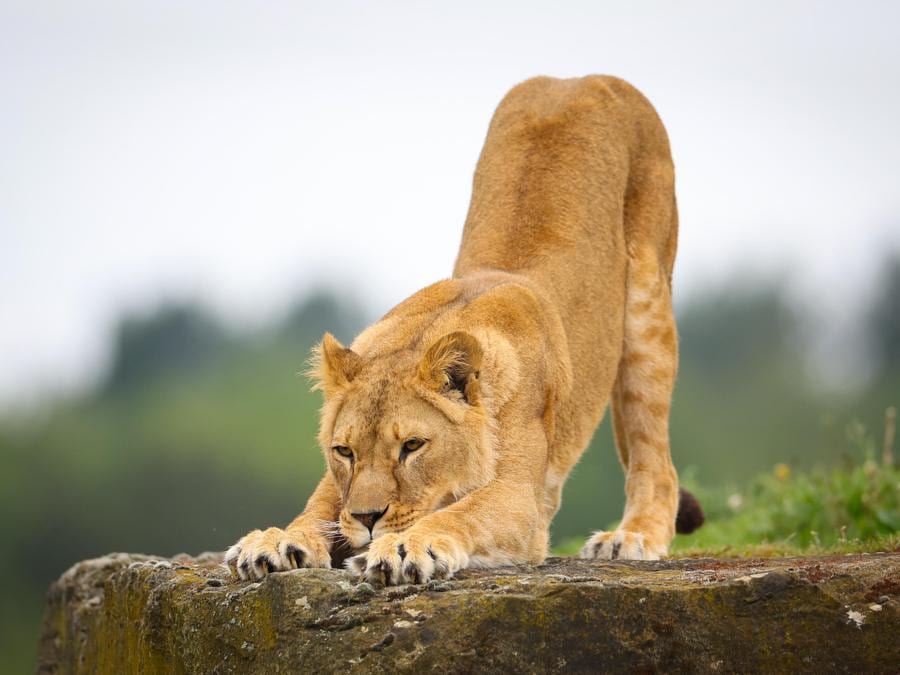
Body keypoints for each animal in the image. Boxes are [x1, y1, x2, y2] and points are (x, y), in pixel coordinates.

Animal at [225, 75, 704, 585]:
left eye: (413, 446)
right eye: (344, 451)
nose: (368, 518)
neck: (422, 337)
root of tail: (578, 77)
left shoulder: (522, 497)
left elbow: (460, 514)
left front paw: (405, 546)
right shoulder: (340, 489)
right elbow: (318, 507)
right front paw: (277, 540)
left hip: (647, 315)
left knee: (656, 461)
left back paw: (631, 537)